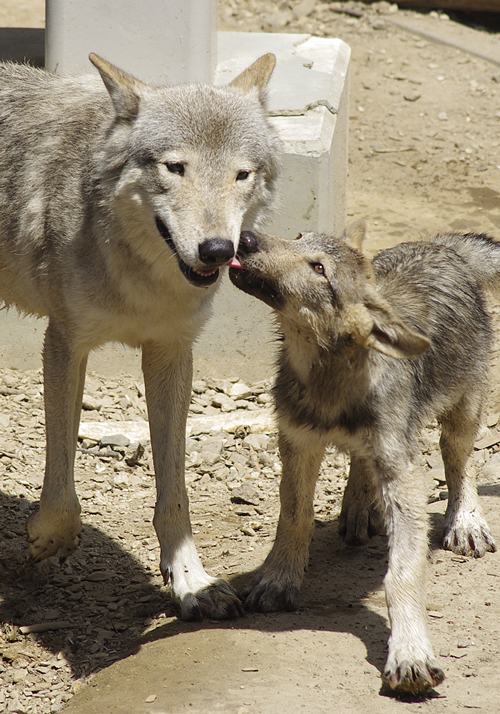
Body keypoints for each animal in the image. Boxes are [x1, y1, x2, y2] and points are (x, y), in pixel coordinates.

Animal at [0, 52, 282, 620]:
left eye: (241, 174)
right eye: (175, 168)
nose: (218, 249)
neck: (143, 280)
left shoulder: (171, 353)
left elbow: (174, 491)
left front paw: (190, 579)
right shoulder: (64, 343)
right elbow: (61, 487)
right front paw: (47, 538)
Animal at [229, 224, 496, 688]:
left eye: (319, 269)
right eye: (298, 236)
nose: (245, 238)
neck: (328, 380)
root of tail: (441, 244)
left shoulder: (401, 470)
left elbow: (402, 573)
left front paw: (410, 652)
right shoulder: (297, 442)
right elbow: (294, 518)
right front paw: (277, 580)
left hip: (462, 411)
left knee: (458, 462)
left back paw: (465, 522)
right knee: (361, 463)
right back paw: (359, 509)